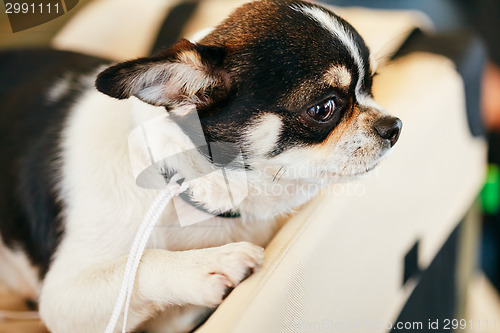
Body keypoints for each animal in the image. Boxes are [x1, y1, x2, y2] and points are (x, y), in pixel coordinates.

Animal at [0, 1, 402, 330]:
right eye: (324, 108)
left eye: (372, 85)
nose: (394, 127)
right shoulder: (63, 297)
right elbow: (139, 263)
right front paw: (210, 263)